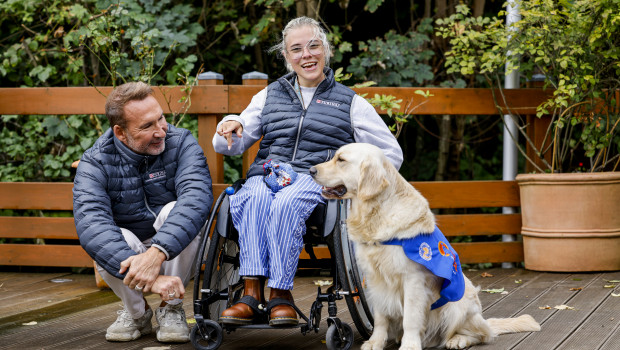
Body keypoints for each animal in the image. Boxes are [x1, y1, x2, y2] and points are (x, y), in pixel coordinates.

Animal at [312, 143, 540, 350]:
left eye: (341, 160)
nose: (311, 170)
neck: (377, 214)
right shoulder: (375, 280)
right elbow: (380, 317)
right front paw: (375, 342)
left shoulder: (413, 279)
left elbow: (411, 318)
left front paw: (410, 345)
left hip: (457, 306)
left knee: (483, 334)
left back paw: (457, 340)